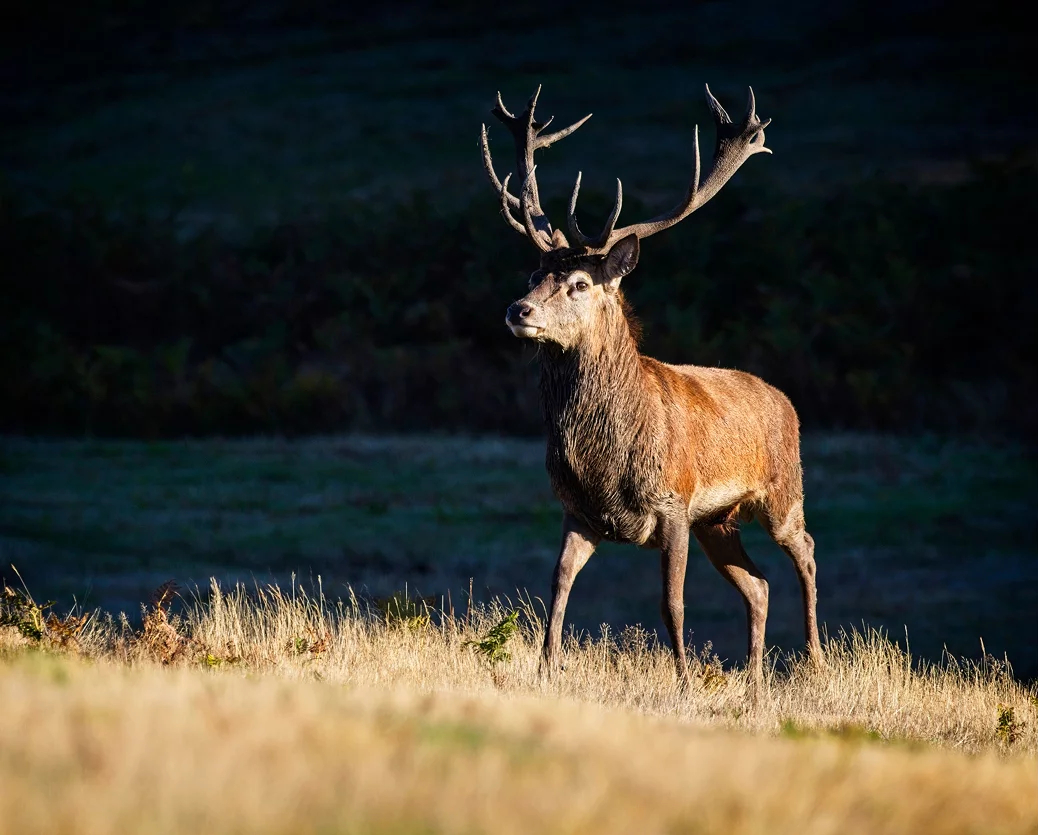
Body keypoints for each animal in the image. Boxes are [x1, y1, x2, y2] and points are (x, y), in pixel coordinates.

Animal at [479, 83, 823, 691]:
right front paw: (547, 669)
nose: (518, 311)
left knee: (804, 550)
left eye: (579, 283)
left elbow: (672, 603)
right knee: (757, 583)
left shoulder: (674, 504)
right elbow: (557, 587)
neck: (604, 459)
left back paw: (815, 663)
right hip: (719, 521)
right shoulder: (578, 512)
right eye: (533, 276)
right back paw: (754, 683)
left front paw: (684, 683)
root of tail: (784, 400)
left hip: (781, 491)